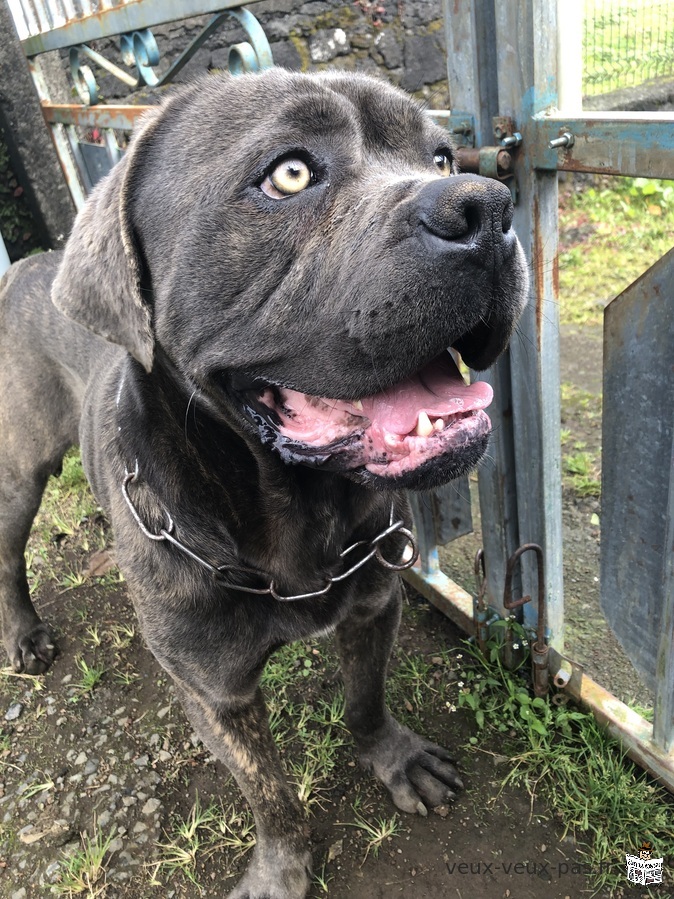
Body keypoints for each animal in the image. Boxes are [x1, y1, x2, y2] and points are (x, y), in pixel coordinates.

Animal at [0, 67, 524, 896]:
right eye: (291, 173)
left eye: (442, 157)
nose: (488, 207)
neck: (295, 524)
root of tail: (26, 263)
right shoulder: (216, 693)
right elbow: (268, 791)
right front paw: (283, 868)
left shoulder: (374, 603)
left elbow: (365, 698)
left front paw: (393, 758)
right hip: (22, 470)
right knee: (9, 551)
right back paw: (22, 633)